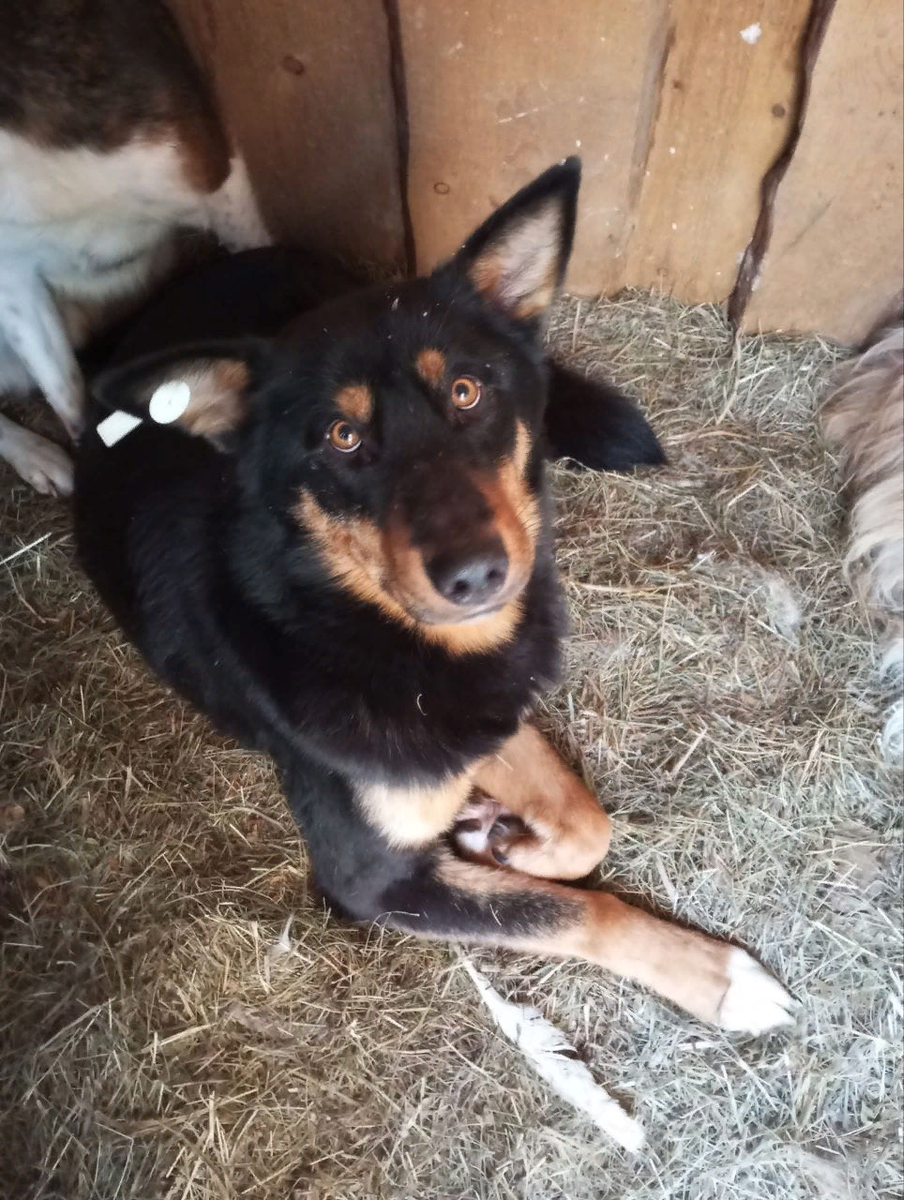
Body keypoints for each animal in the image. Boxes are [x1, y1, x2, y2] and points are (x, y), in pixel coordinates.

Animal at [75, 162, 797, 1032]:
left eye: (465, 391)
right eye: (342, 436)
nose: (476, 574)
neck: (346, 614)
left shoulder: (480, 709)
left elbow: (587, 821)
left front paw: (506, 839)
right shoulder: (373, 878)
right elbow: (574, 909)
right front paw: (720, 977)